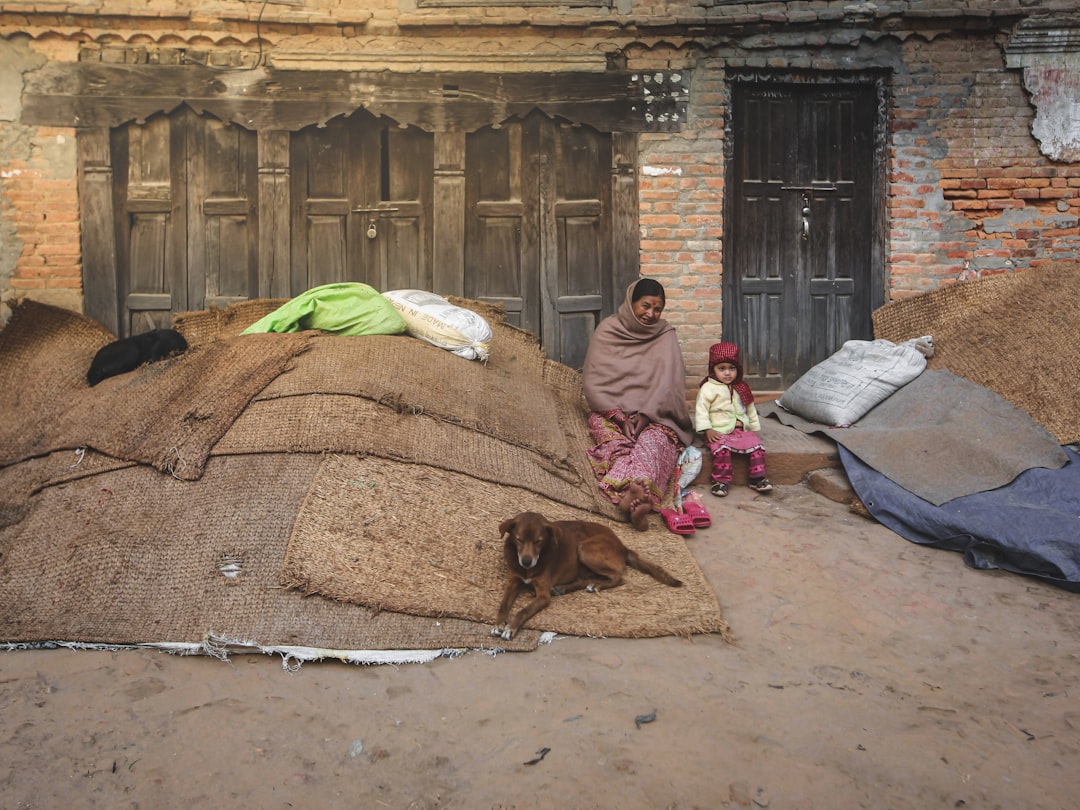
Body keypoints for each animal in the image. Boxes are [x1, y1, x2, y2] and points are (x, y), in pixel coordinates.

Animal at [492, 514, 682, 639]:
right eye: (519, 539)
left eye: (539, 541)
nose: (526, 562)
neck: (527, 571)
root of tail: (622, 546)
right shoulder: (513, 582)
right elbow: (503, 605)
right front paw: (498, 624)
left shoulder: (543, 596)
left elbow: (523, 611)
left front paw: (511, 628)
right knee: (586, 579)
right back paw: (565, 588)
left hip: (585, 549)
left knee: (618, 577)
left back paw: (596, 585)